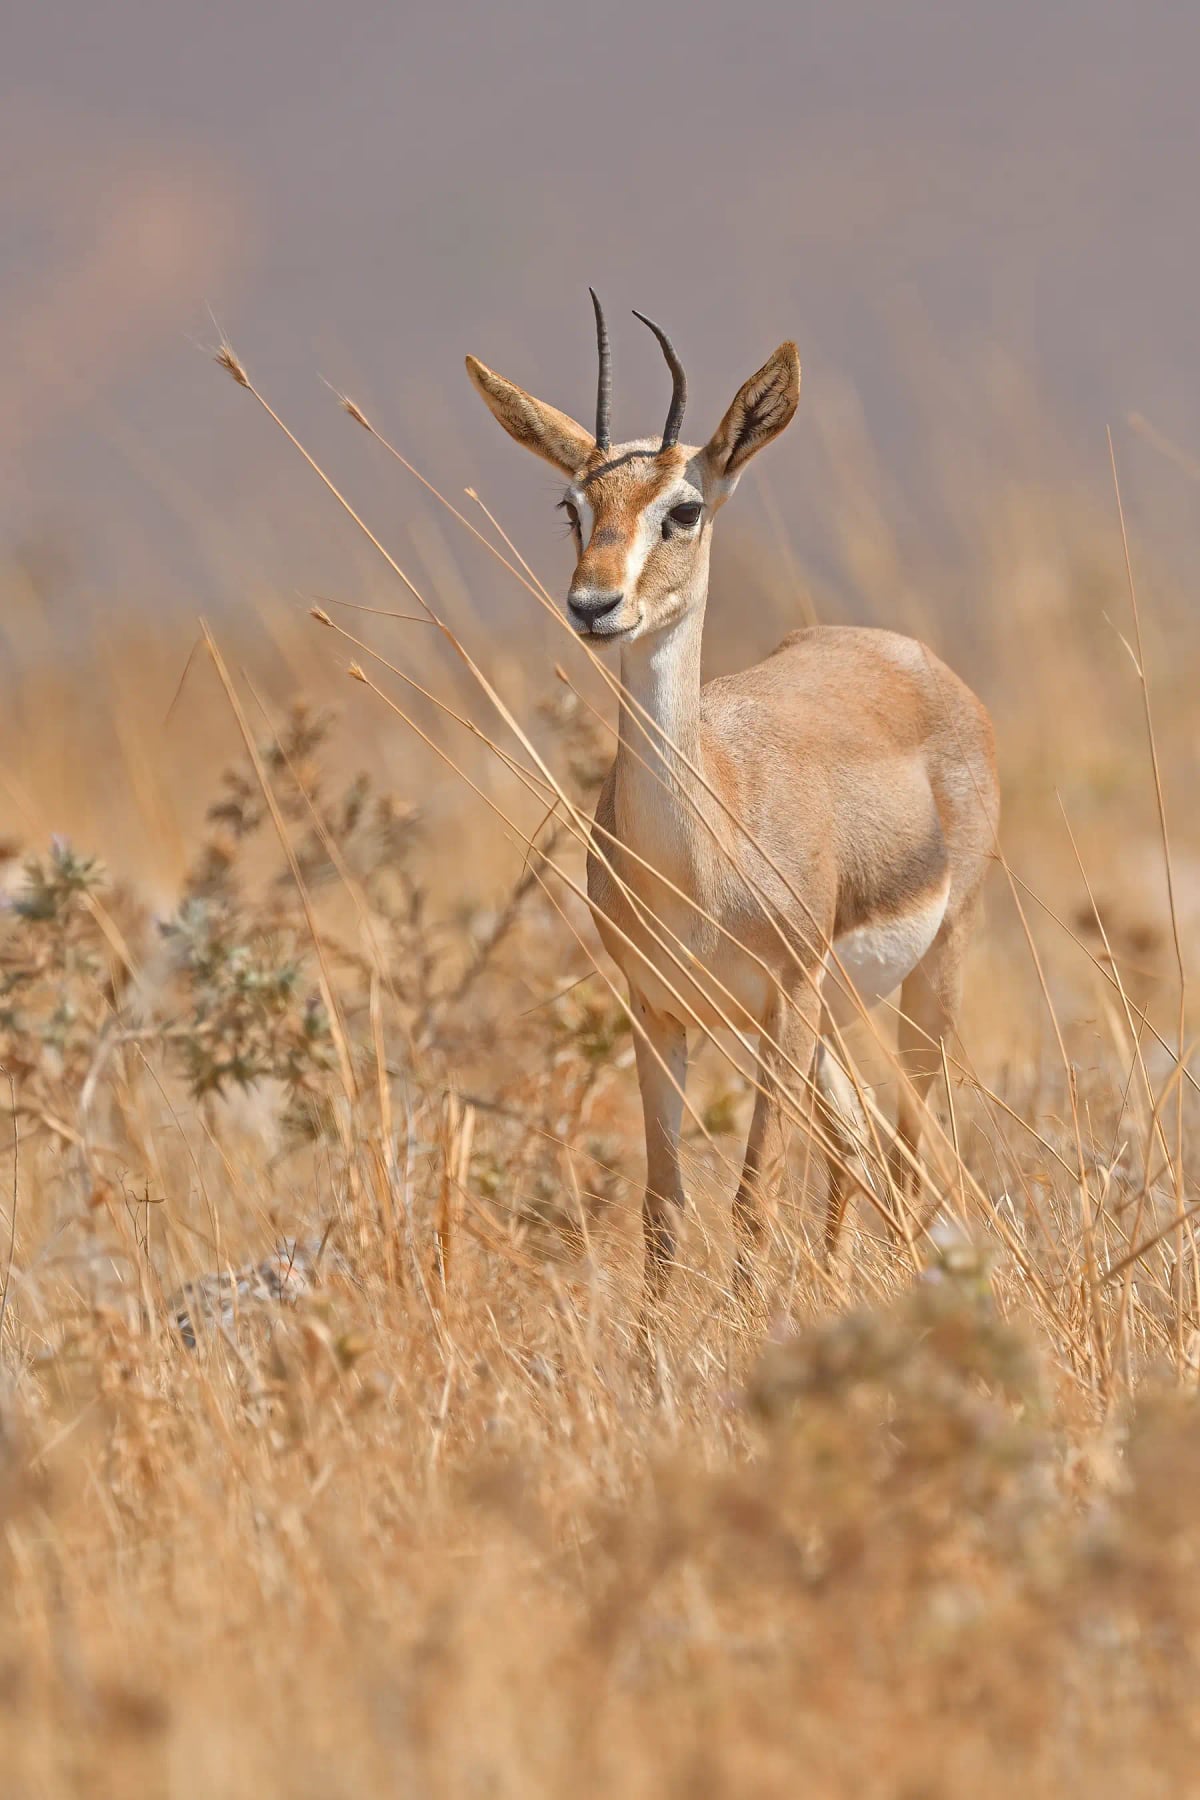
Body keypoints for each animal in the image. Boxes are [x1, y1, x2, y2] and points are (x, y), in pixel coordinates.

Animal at [466, 296, 999, 1303]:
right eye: (573, 506)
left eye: (683, 509)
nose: (593, 606)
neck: (701, 855)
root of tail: (908, 655)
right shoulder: (659, 1014)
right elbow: (664, 1212)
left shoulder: (783, 1001)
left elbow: (753, 1200)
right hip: (823, 1021)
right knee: (855, 1143)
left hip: (928, 976)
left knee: (906, 1157)